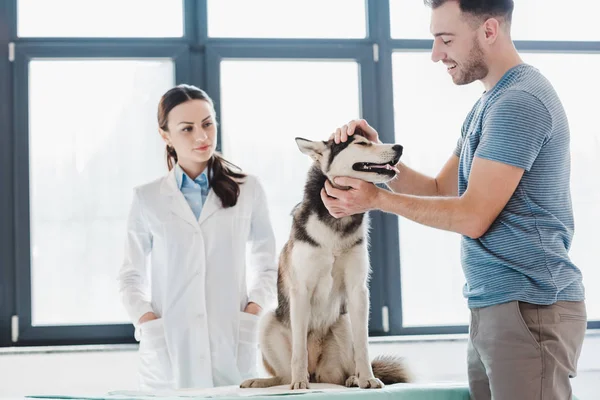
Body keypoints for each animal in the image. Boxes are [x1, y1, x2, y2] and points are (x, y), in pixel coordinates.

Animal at [241, 131, 410, 390]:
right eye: (362, 143)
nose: (399, 147)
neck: (336, 224)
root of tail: (316, 372)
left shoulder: (358, 290)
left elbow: (363, 345)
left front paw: (368, 378)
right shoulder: (301, 290)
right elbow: (299, 350)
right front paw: (299, 383)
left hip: (344, 322)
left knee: (342, 372)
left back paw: (354, 378)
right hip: (267, 321)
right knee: (283, 375)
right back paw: (266, 381)